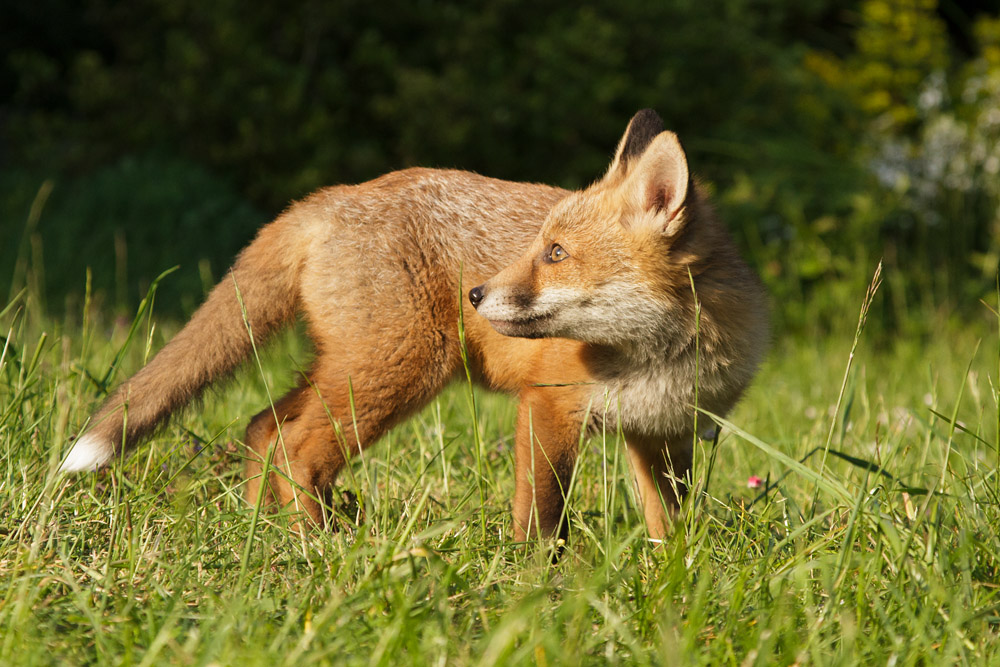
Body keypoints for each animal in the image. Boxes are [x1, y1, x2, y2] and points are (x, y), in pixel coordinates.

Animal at [61, 109, 768, 542]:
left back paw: (267, 535)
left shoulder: (665, 435)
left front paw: (671, 579)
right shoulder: (547, 408)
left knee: (263, 429)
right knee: (298, 451)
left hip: (350, 367)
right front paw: (539, 584)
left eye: (555, 254)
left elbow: (670, 524)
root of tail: (331, 196)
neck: (659, 359)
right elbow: (542, 515)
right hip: (398, 370)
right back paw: (319, 549)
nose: (476, 293)